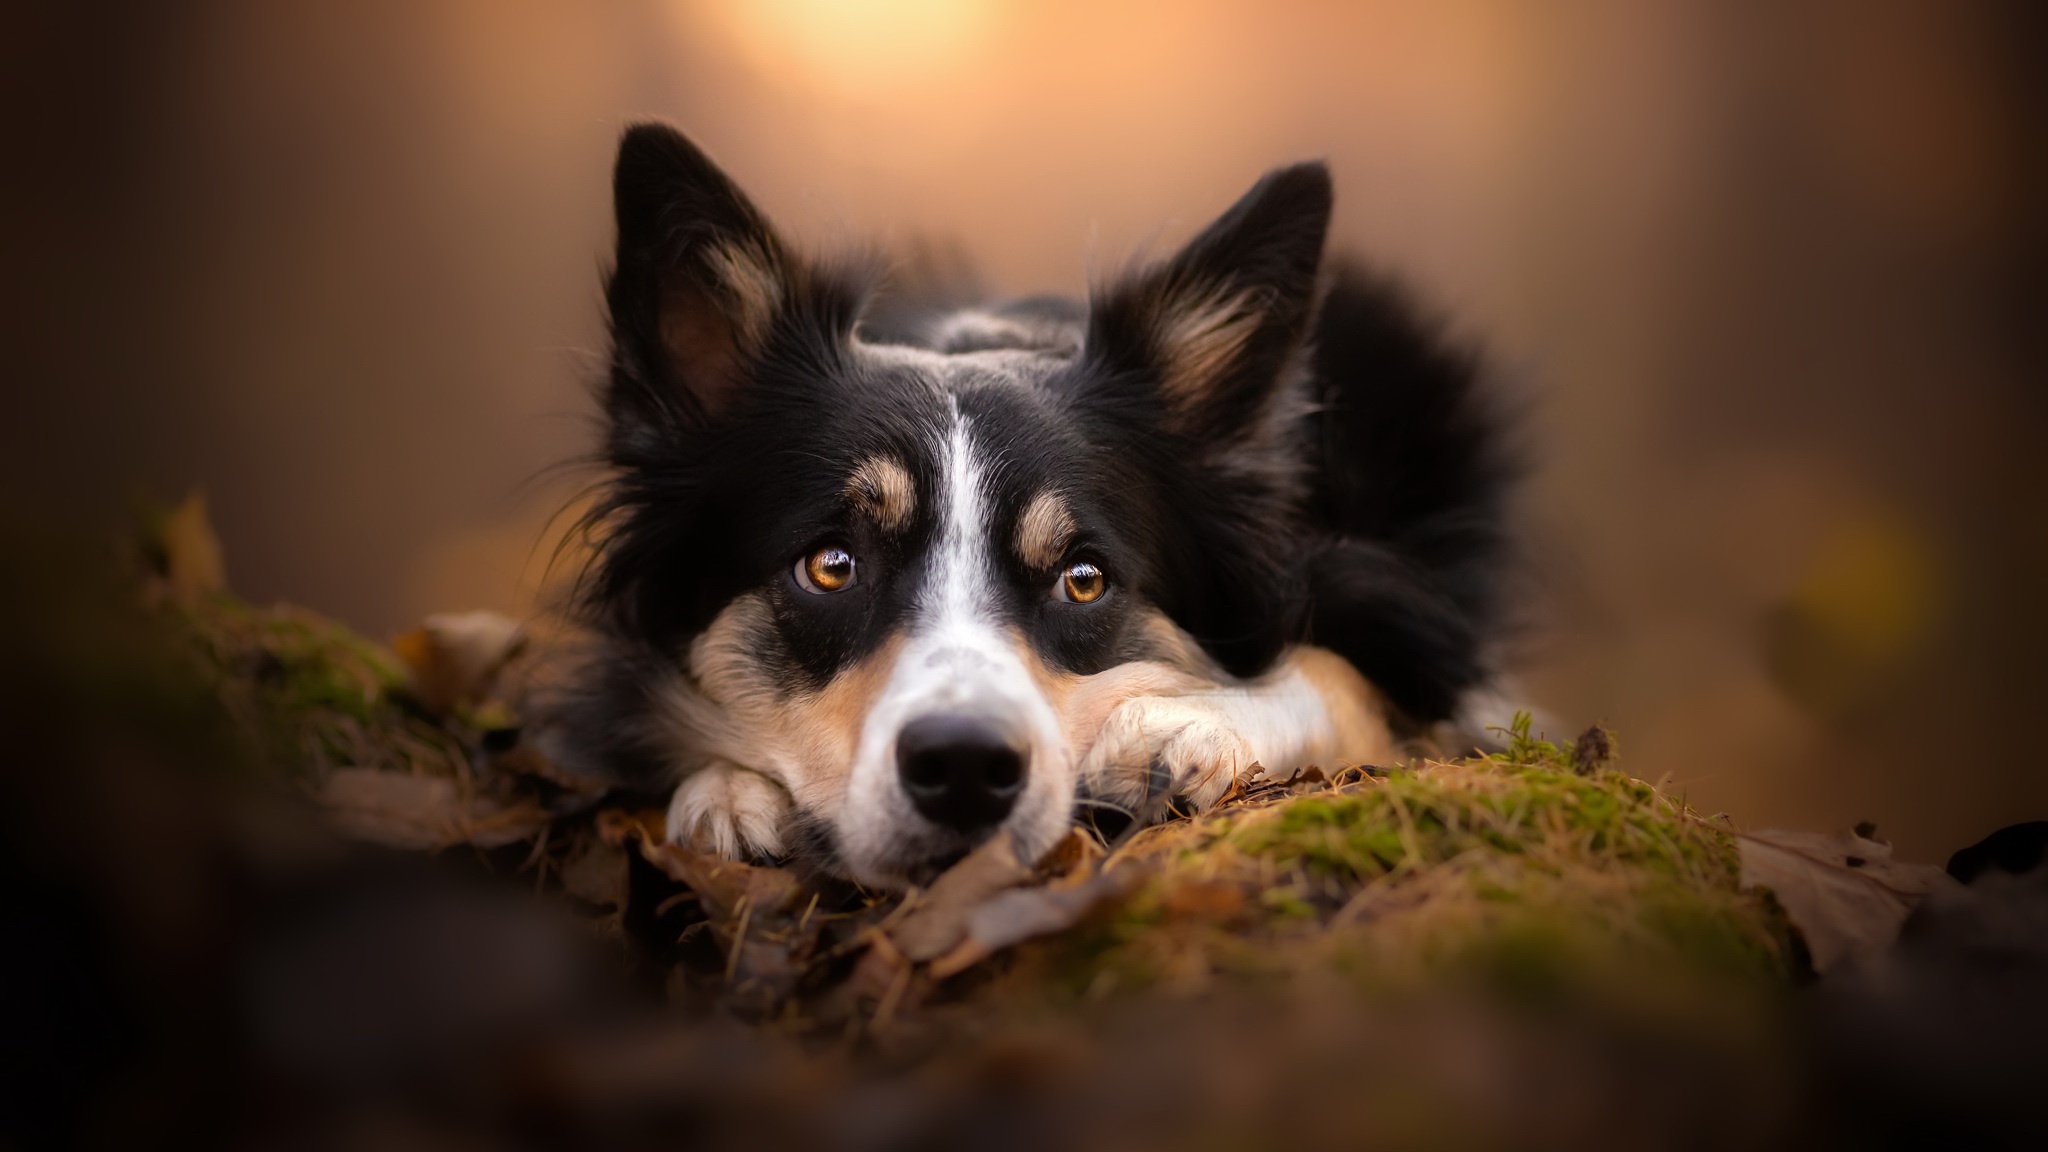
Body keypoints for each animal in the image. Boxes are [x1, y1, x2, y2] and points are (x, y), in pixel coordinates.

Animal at [552, 120, 1515, 881]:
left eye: (1083, 580)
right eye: (830, 566)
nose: (964, 767)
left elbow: (1339, 677)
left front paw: (1188, 721)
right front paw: (722, 788)